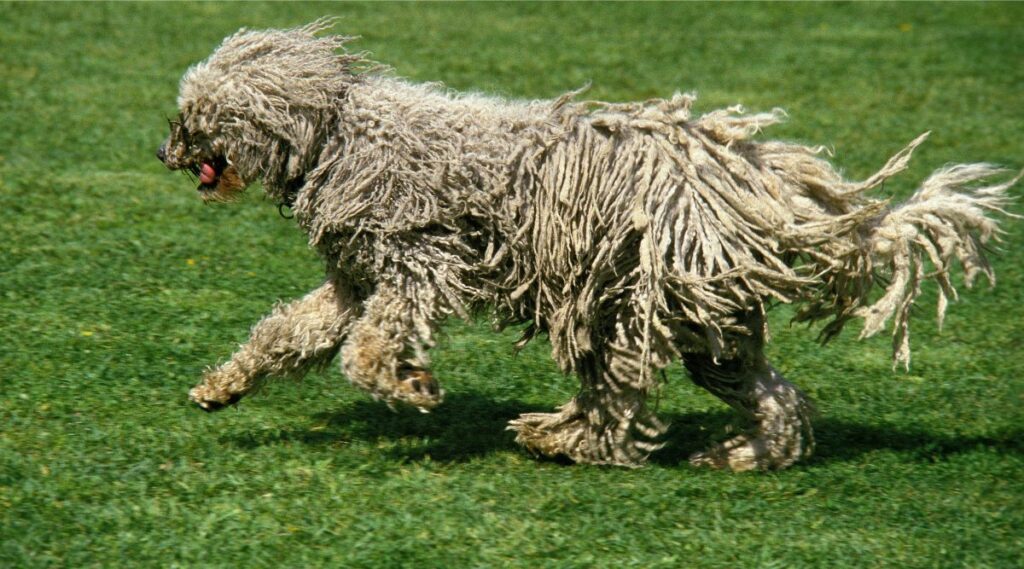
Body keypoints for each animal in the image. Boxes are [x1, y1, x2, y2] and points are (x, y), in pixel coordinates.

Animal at [157, 19, 1015, 468]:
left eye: (198, 112)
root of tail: (760, 180)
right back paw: (742, 452)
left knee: (621, 396)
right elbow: (288, 332)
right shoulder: (354, 279)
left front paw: (412, 385)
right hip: (708, 319)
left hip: (637, 300)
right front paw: (223, 384)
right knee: (772, 396)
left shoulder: (420, 261)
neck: (337, 133)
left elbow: (366, 350)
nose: (163, 148)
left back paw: (560, 434)